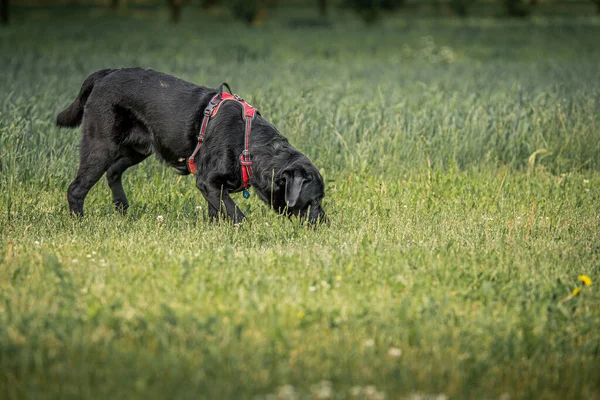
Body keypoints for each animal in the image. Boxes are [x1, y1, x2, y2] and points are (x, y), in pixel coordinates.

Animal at [58, 69, 326, 225]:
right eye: (314, 201)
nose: (326, 223)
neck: (248, 146)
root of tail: (105, 74)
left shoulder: (213, 187)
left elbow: (217, 210)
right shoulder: (207, 181)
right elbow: (236, 213)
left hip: (137, 149)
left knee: (113, 172)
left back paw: (122, 208)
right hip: (101, 146)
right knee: (76, 188)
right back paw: (79, 222)